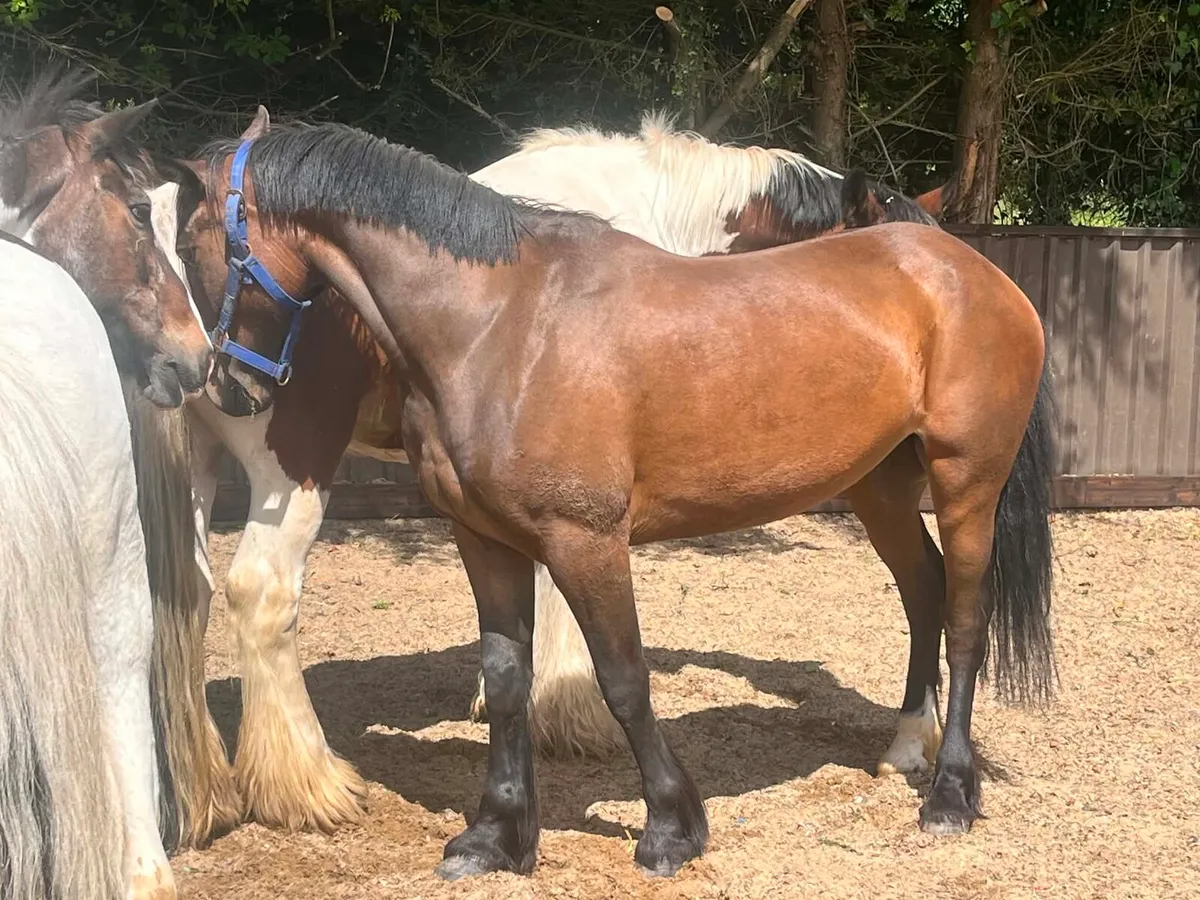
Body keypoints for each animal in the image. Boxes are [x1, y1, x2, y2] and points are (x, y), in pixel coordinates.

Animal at [174, 112, 1055, 878]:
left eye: (190, 240)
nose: (225, 384)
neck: (501, 322)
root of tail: (974, 274)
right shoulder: (481, 536)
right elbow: (506, 679)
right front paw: (496, 835)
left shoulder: (585, 539)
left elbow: (624, 678)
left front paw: (670, 828)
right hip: (879, 489)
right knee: (924, 591)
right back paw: (907, 747)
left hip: (967, 483)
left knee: (967, 623)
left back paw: (948, 794)